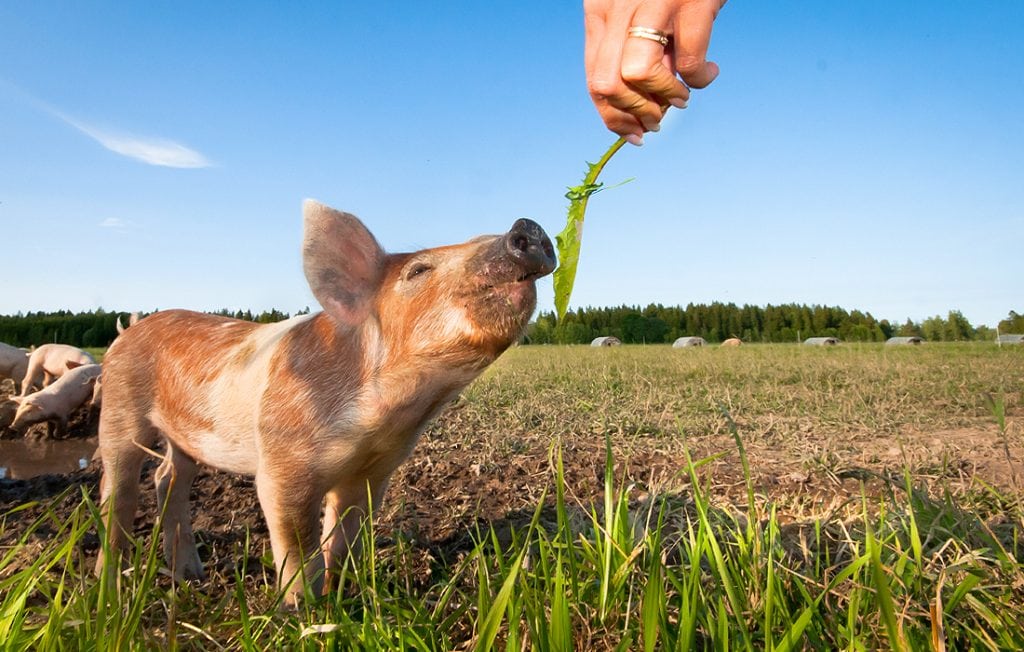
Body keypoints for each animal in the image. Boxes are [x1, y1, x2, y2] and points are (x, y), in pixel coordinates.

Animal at [96, 197, 557, 601]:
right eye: (418, 269)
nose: (526, 226)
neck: (389, 418)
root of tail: (128, 332)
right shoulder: (282, 463)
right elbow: (297, 541)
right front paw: (305, 611)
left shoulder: (373, 472)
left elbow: (346, 536)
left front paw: (341, 597)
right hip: (120, 405)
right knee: (117, 488)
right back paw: (108, 587)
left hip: (186, 436)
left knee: (168, 478)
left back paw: (191, 575)